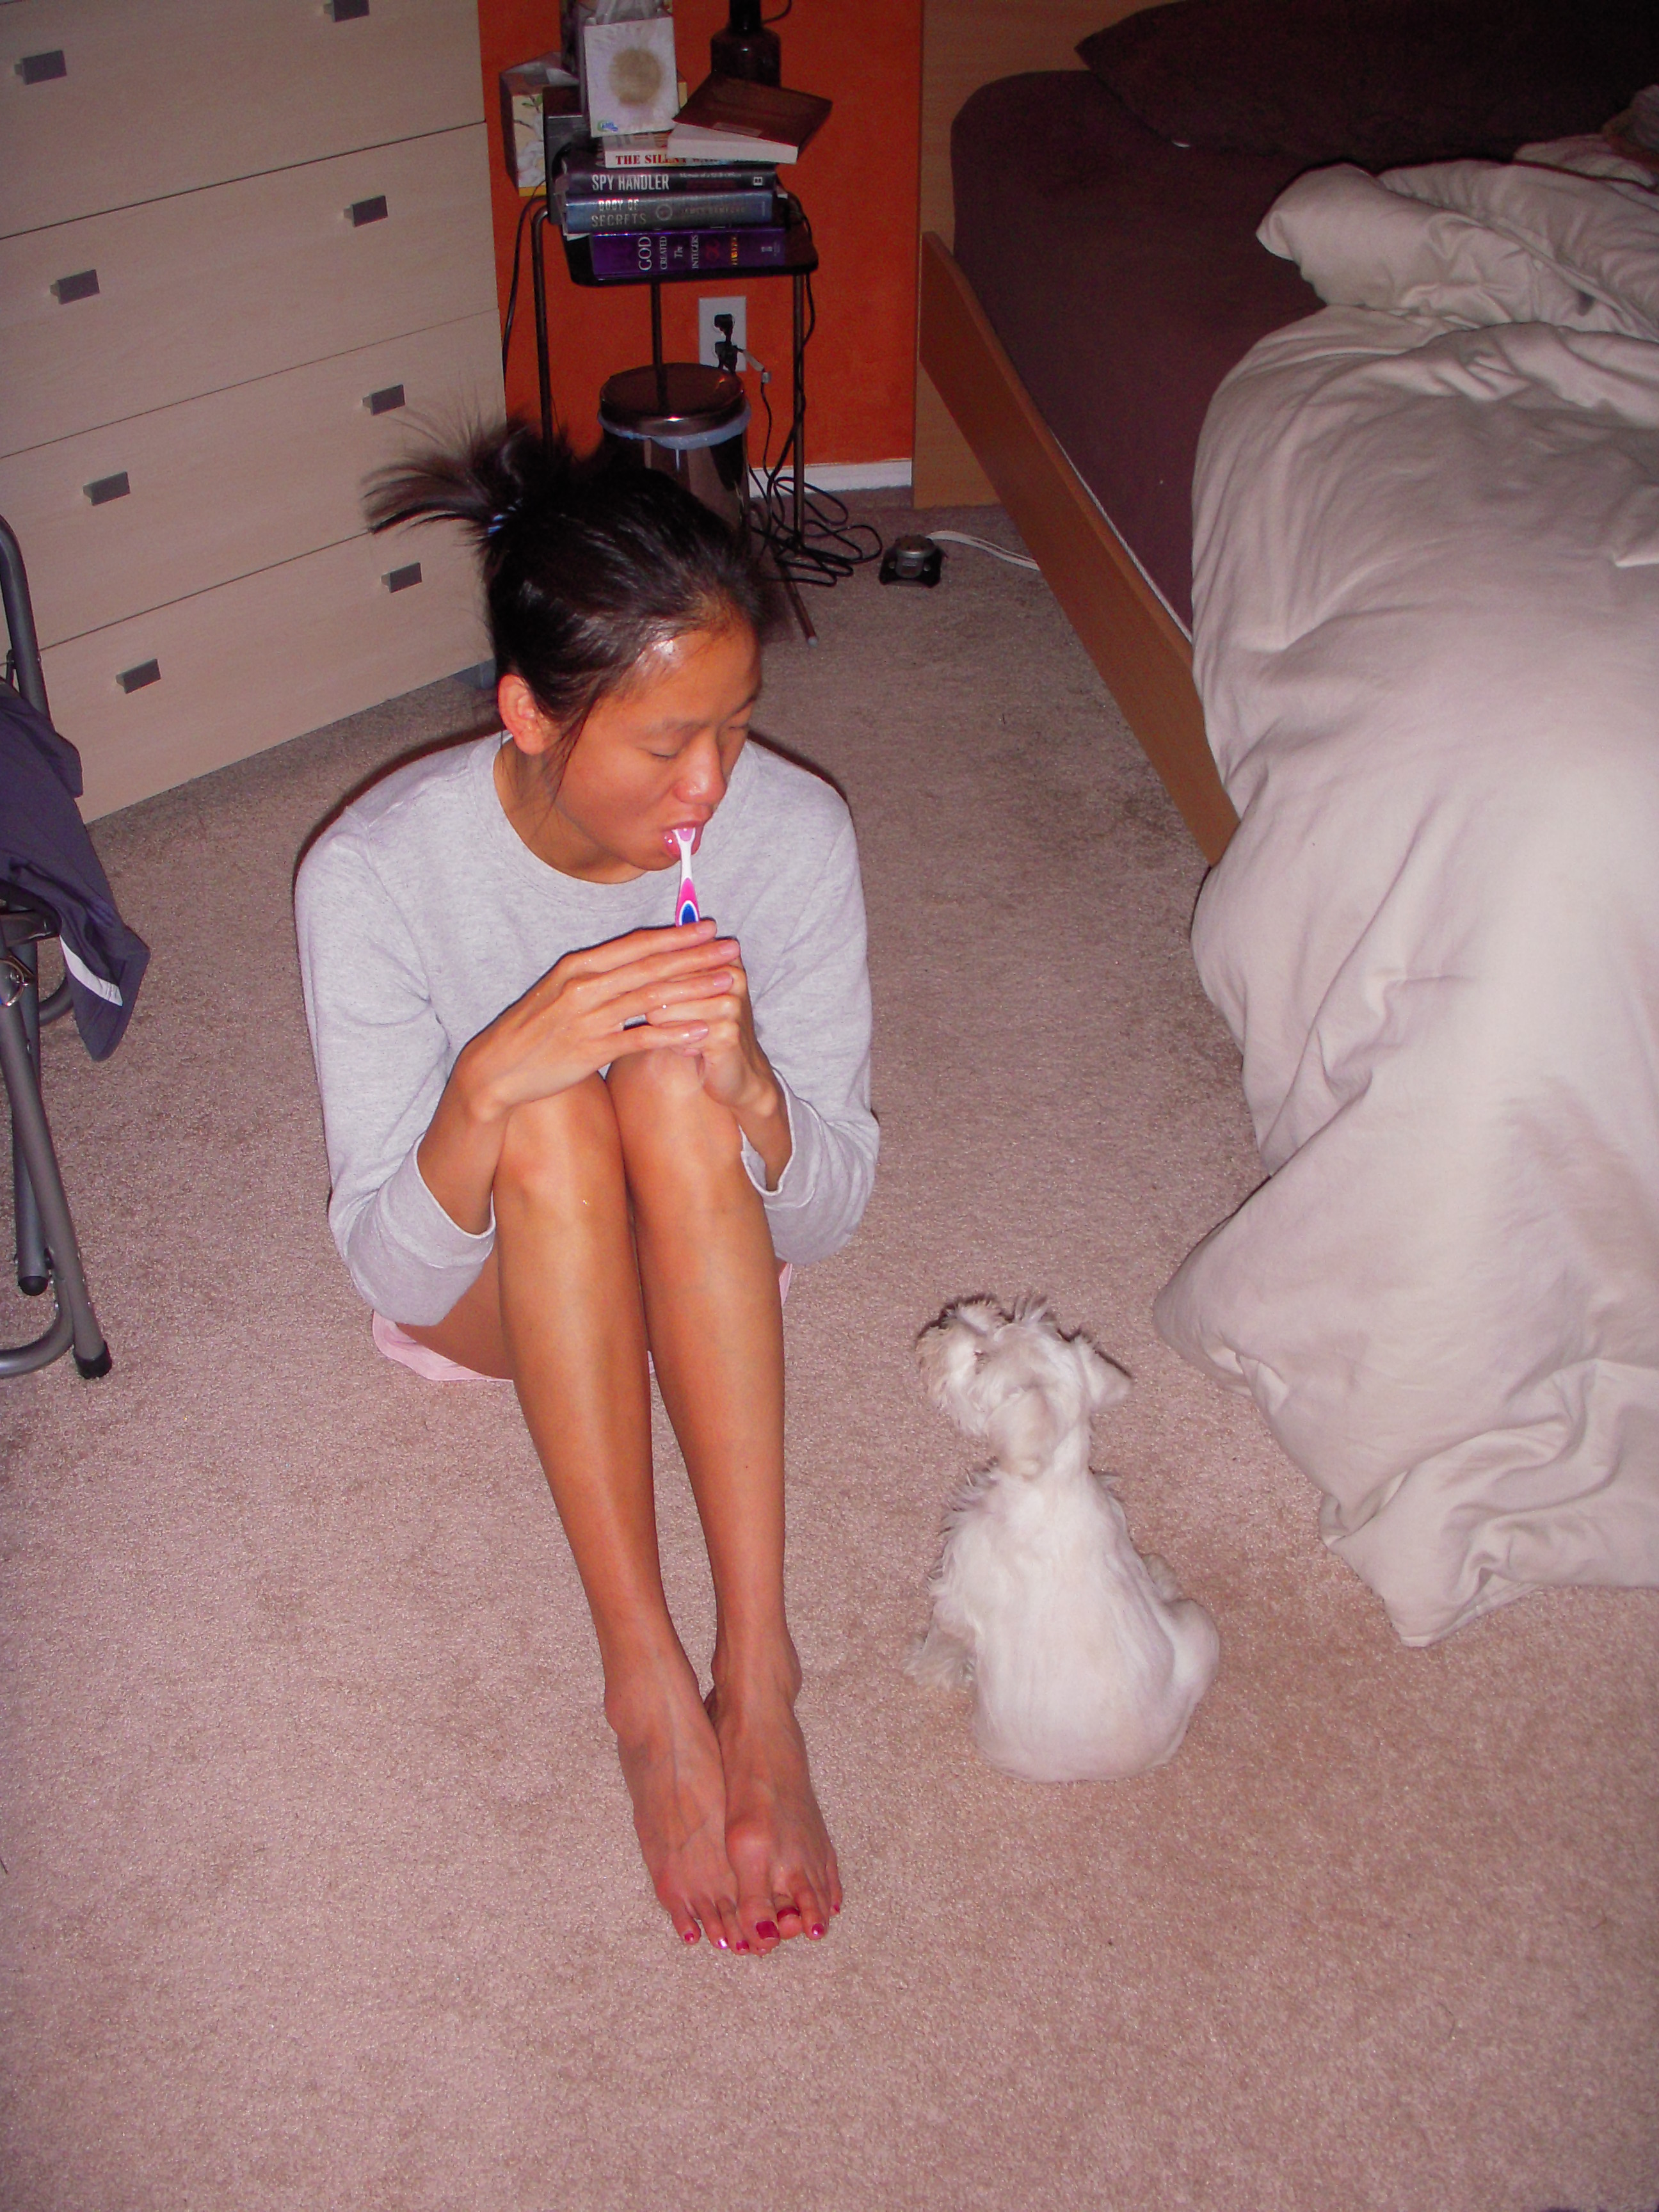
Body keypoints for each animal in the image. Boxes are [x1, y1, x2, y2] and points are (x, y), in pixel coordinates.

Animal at [910, 1297, 1219, 1783]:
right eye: (1006, 1322)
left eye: (982, 1360)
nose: (952, 1318)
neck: (1050, 1483)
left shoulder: (957, 1595)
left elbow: (941, 1644)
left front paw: (923, 1669)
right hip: (1202, 1629)